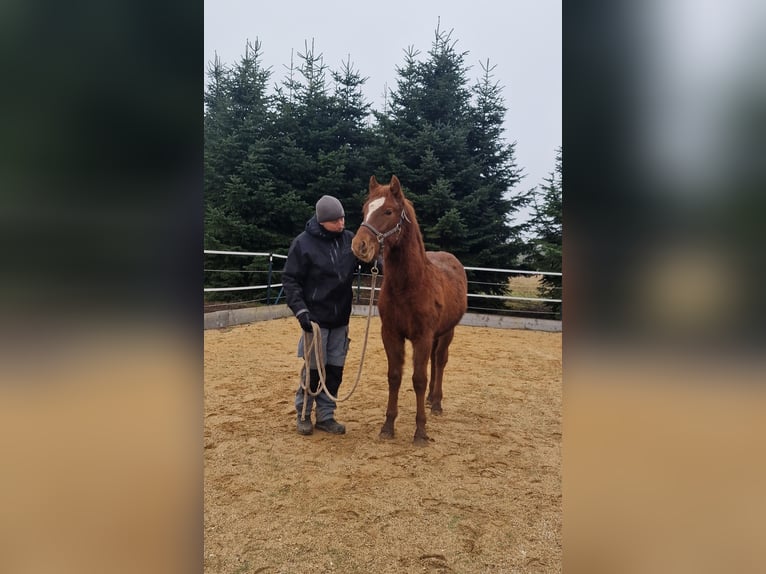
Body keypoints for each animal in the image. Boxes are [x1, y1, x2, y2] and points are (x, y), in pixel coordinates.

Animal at [351, 175, 468, 445]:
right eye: (365, 209)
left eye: (388, 211)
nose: (359, 245)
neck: (410, 285)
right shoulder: (391, 334)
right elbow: (394, 376)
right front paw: (388, 426)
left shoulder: (422, 337)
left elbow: (419, 379)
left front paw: (421, 432)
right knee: (434, 362)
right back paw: (431, 400)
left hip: (447, 332)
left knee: (440, 361)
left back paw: (436, 403)